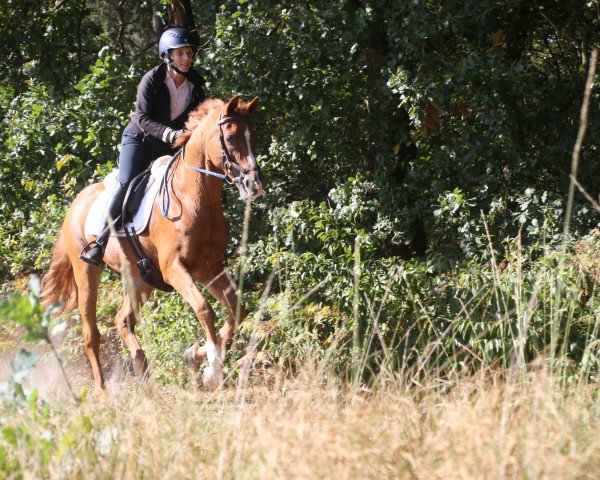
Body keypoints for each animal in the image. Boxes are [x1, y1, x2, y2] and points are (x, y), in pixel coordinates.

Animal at [40, 95, 264, 392]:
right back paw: (102, 391)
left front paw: (196, 355)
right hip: (86, 271)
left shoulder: (209, 268)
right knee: (91, 333)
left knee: (122, 321)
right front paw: (212, 369)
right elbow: (204, 310)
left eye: (254, 136)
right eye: (230, 137)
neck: (193, 197)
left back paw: (142, 368)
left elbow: (237, 310)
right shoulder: (174, 268)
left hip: (141, 280)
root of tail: (75, 204)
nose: (254, 185)